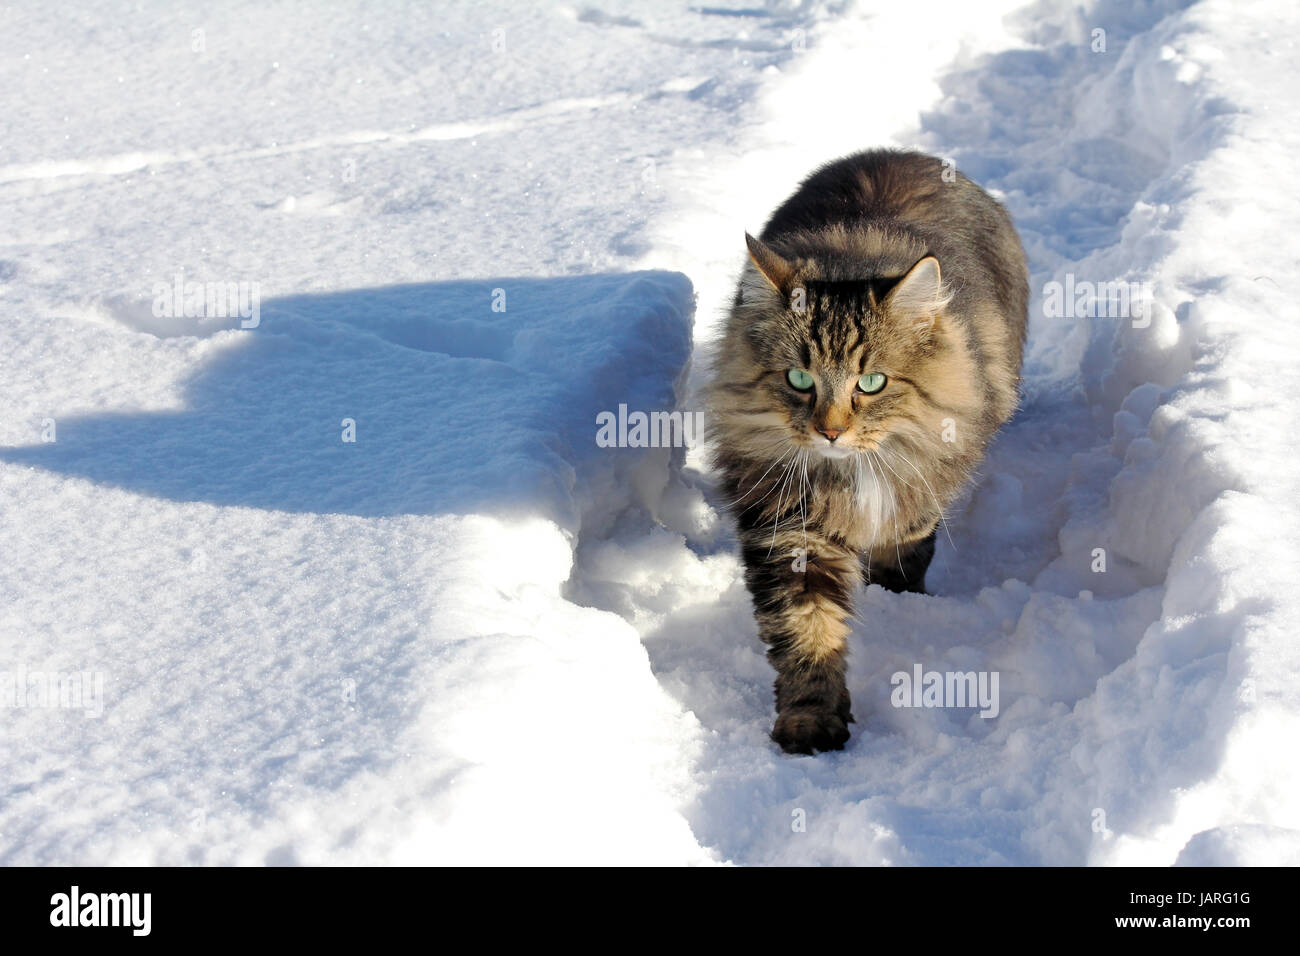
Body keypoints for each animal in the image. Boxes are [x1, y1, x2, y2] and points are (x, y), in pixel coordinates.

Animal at [707, 149, 1029, 754]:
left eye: (872, 382)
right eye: (799, 379)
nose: (830, 431)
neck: (851, 474)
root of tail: (902, 154)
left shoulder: (919, 487)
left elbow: (906, 548)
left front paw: (899, 600)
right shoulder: (792, 529)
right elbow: (807, 628)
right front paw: (810, 723)